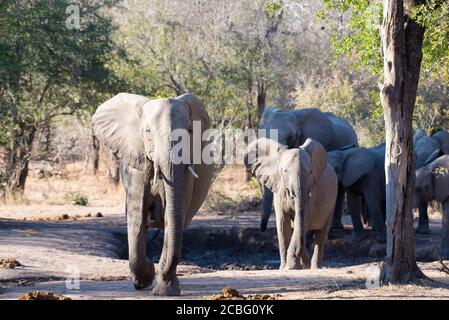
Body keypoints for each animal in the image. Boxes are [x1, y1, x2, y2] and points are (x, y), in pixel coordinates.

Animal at [91, 92, 214, 296]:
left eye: (190, 130)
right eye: (148, 131)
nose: (156, 270)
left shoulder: (187, 175)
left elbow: (174, 216)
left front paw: (165, 290)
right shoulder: (136, 167)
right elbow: (137, 217)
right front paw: (145, 278)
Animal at [245, 138, 336, 270]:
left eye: (310, 171)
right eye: (285, 171)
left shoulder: (311, 194)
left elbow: (302, 221)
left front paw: (291, 266)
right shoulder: (280, 191)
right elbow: (283, 225)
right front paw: (285, 268)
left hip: (333, 200)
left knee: (321, 234)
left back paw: (314, 267)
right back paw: (306, 265)